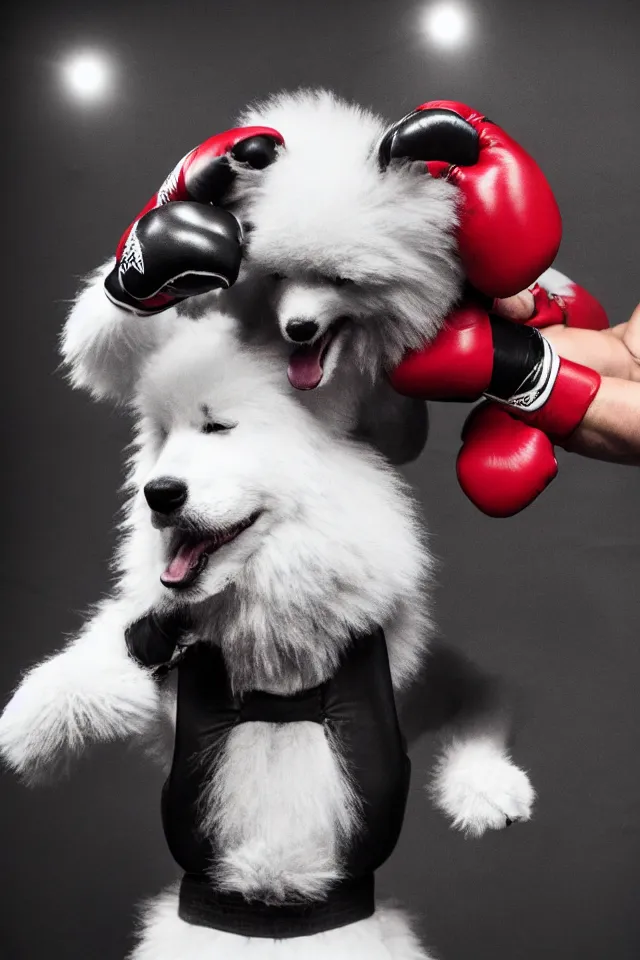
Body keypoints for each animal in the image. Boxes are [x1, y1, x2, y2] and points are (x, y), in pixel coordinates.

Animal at [0, 312, 532, 956]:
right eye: (161, 436)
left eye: (218, 427)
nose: (158, 492)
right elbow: (48, 709)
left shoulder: (417, 671)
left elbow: (483, 693)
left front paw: (489, 791)